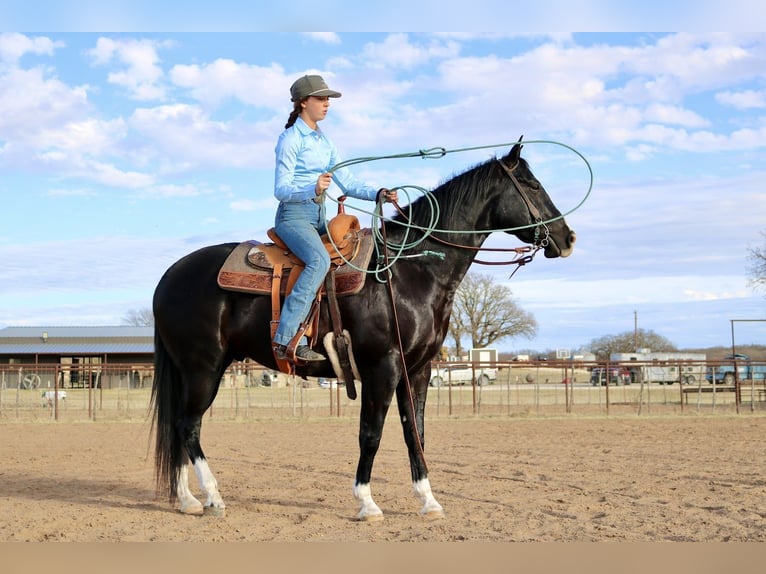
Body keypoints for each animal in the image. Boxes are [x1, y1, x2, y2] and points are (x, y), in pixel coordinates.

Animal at [150, 141, 576, 520]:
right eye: (533, 185)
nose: (568, 238)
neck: (410, 271)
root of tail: (169, 276)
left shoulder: (417, 370)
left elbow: (415, 432)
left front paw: (428, 501)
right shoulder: (382, 368)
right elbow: (371, 434)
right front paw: (367, 503)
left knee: (179, 427)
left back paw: (187, 500)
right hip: (204, 368)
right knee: (188, 426)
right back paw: (212, 498)